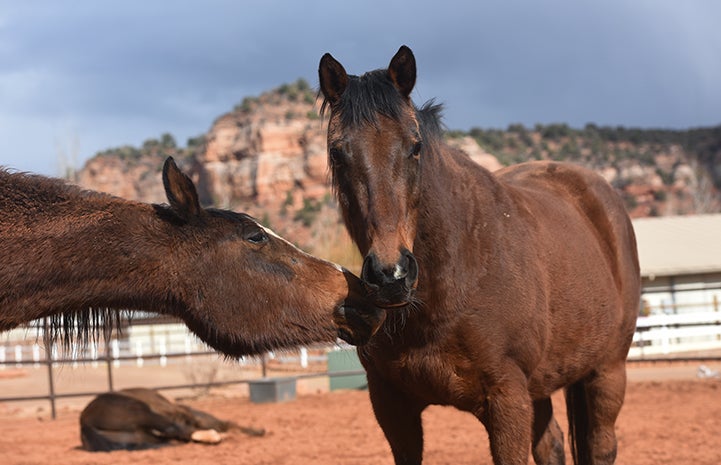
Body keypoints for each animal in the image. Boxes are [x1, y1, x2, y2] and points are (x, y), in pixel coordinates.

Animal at [318, 44, 640, 464]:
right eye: (337, 153)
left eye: (415, 146)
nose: (391, 276)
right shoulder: (392, 407)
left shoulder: (507, 400)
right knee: (551, 445)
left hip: (607, 372)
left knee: (601, 445)